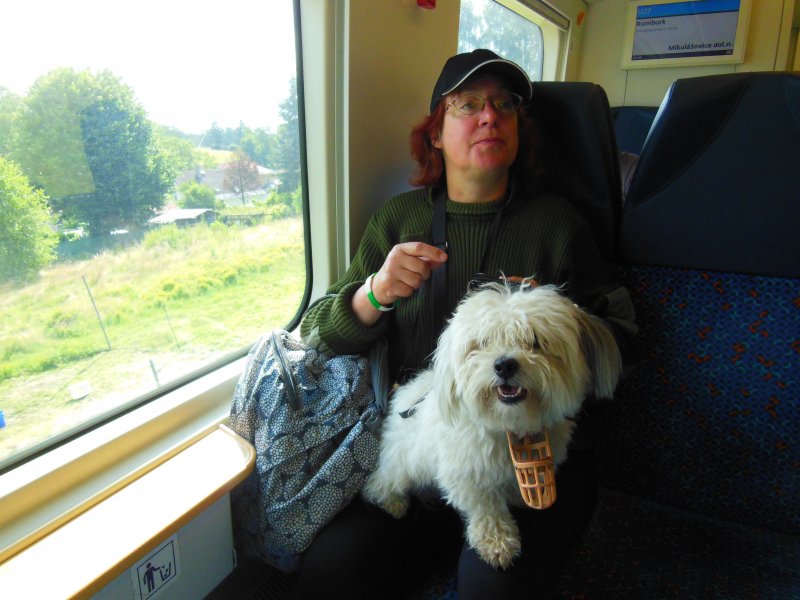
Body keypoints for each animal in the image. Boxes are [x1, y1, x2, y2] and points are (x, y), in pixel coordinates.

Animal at [362, 280, 622, 569]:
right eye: (483, 343)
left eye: (535, 341)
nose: (504, 364)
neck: (508, 425)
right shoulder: (468, 475)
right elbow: (486, 510)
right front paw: (497, 543)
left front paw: (519, 498)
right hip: (406, 460)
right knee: (380, 482)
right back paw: (393, 502)